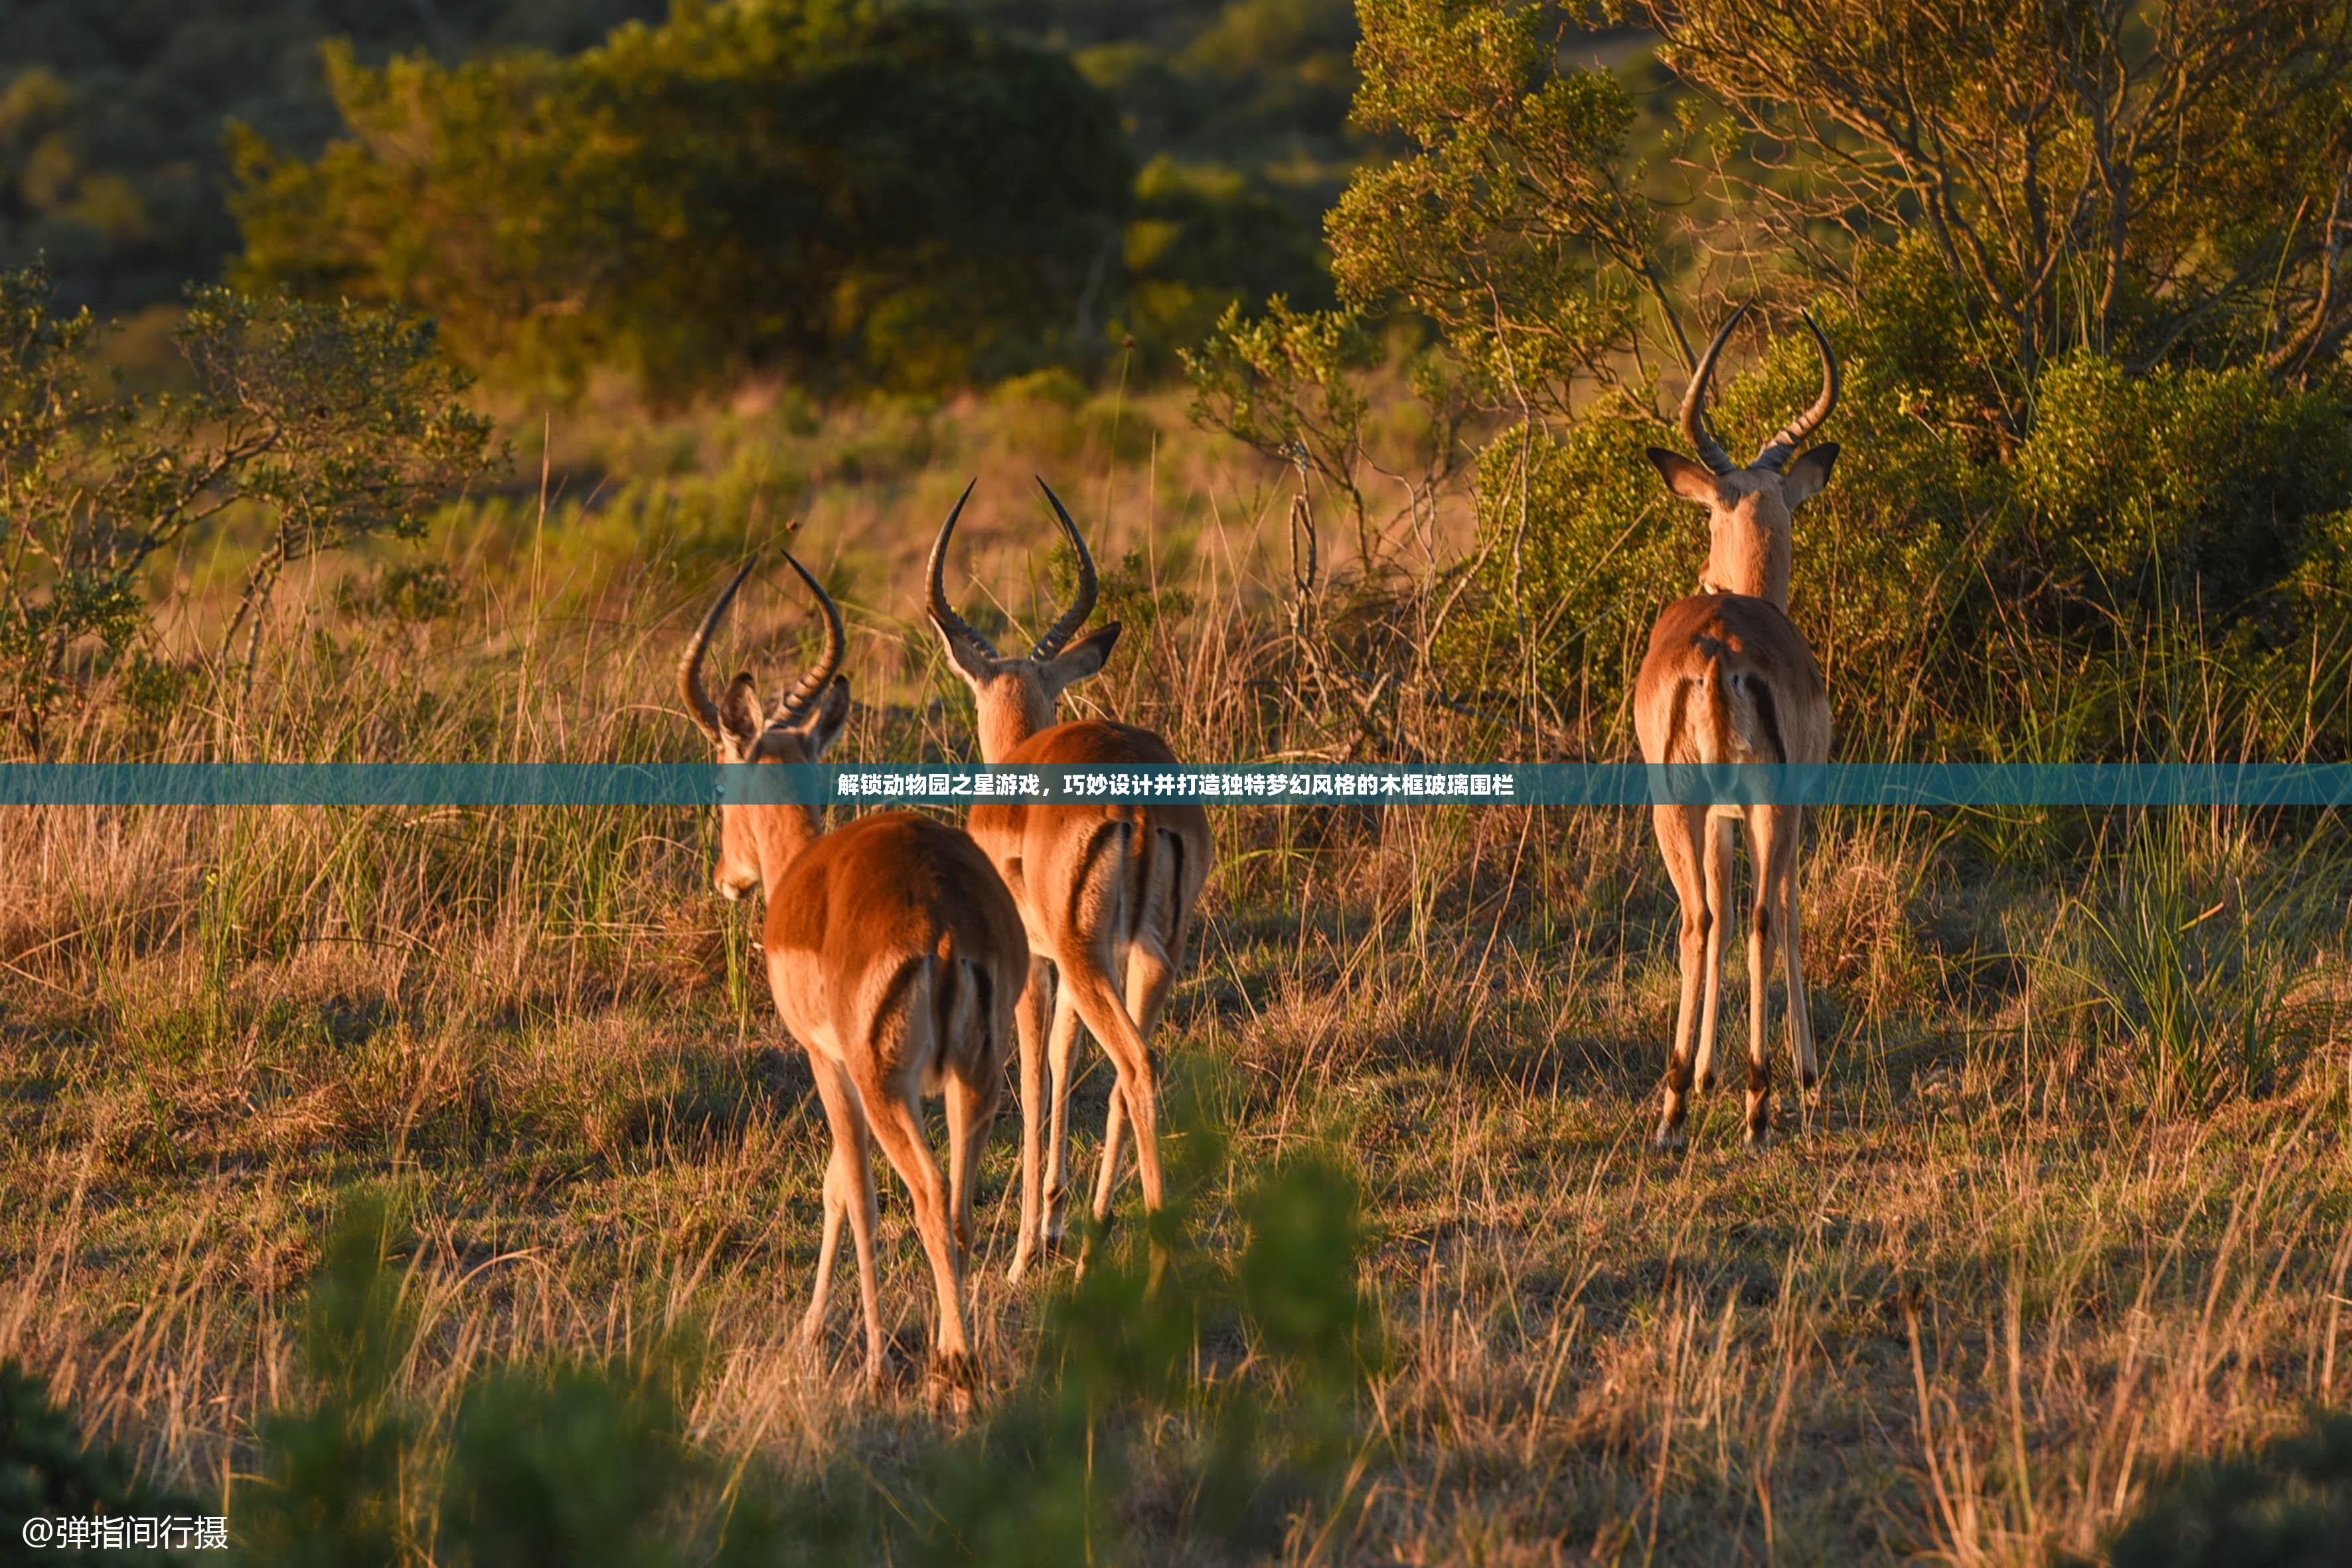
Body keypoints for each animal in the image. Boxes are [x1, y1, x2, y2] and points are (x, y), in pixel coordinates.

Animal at [672, 550, 1020, 1401]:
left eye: (721, 777)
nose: (728, 878)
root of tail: (945, 920)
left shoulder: (824, 1060)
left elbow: (853, 1191)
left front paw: (865, 1355)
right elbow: (837, 1185)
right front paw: (812, 1330)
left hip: (887, 1082)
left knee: (924, 1194)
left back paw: (952, 1363)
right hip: (978, 1078)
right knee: (960, 1204)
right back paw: (952, 1349)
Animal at [917, 484, 1214, 1279]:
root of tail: (1137, 800)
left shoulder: (1027, 964)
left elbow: (1032, 1077)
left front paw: (1026, 1250)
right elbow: (1064, 1057)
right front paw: (1055, 1224)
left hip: (1086, 957)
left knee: (1136, 1063)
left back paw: (1151, 1260)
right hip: (1146, 953)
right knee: (1128, 1073)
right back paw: (1100, 1235)